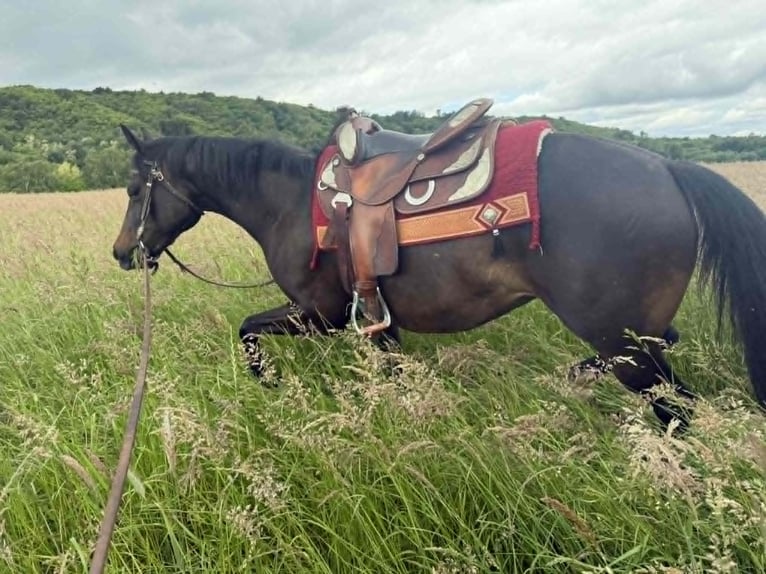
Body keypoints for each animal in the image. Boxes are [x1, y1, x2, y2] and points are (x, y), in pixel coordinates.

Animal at [111, 106, 766, 429]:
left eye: (134, 188)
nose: (123, 253)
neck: (289, 202)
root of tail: (668, 168)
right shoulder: (377, 326)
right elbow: (397, 379)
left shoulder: (320, 315)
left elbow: (246, 330)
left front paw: (267, 381)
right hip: (634, 337)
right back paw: (576, 376)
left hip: (626, 345)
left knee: (677, 411)